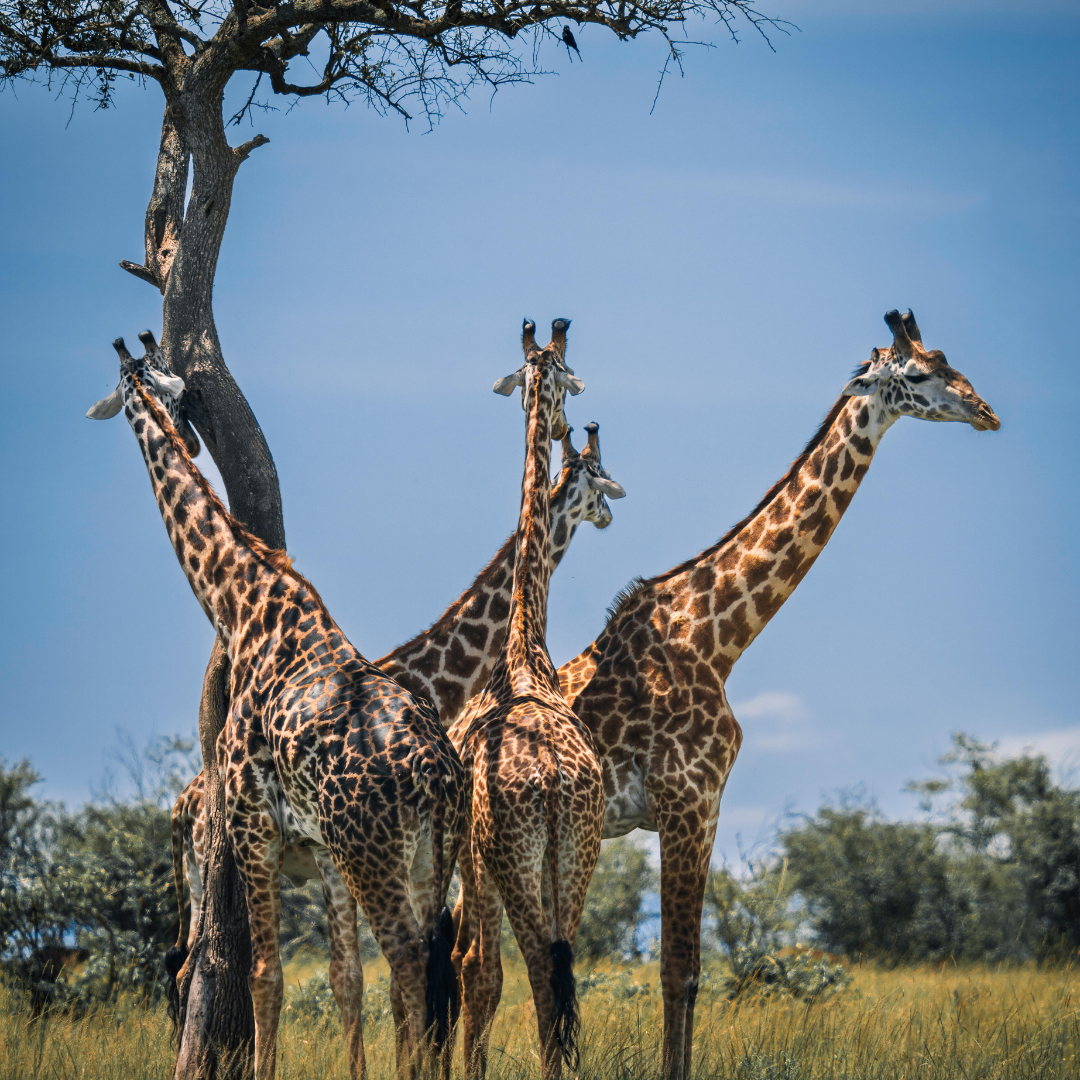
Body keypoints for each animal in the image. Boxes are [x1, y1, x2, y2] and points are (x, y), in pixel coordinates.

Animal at [90, 331, 466, 1080]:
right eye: (172, 385)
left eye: (136, 384)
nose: (186, 434)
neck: (240, 602)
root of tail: (438, 776)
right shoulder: (318, 848)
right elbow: (341, 978)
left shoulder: (251, 824)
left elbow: (266, 975)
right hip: (430, 857)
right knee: (434, 965)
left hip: (374, 851)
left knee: (408, 959)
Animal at [556, 310, 1000, 1080]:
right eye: (919, 373)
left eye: (953, 361)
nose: (986, 412)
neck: (717, 637)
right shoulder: (686, 801)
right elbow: (677, 970)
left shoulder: (703, 809)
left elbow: (688, 972)